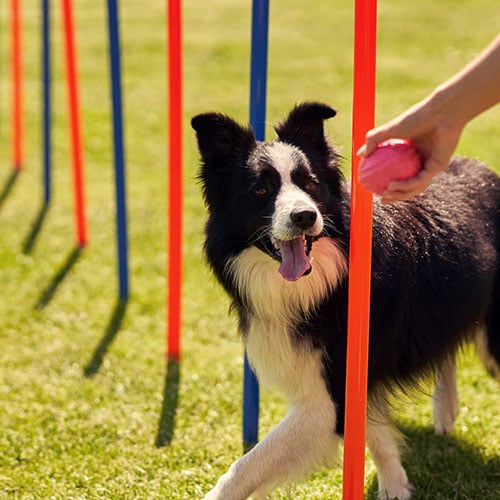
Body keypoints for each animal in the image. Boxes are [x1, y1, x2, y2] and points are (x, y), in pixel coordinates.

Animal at [191, 102, 500, 500]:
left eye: (310, 184)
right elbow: (375, 432)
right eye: (260, 190)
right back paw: (445, 411)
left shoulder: (330, 397)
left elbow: (245, 467)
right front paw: (395, 484)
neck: (325, 280)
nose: (304, 215)